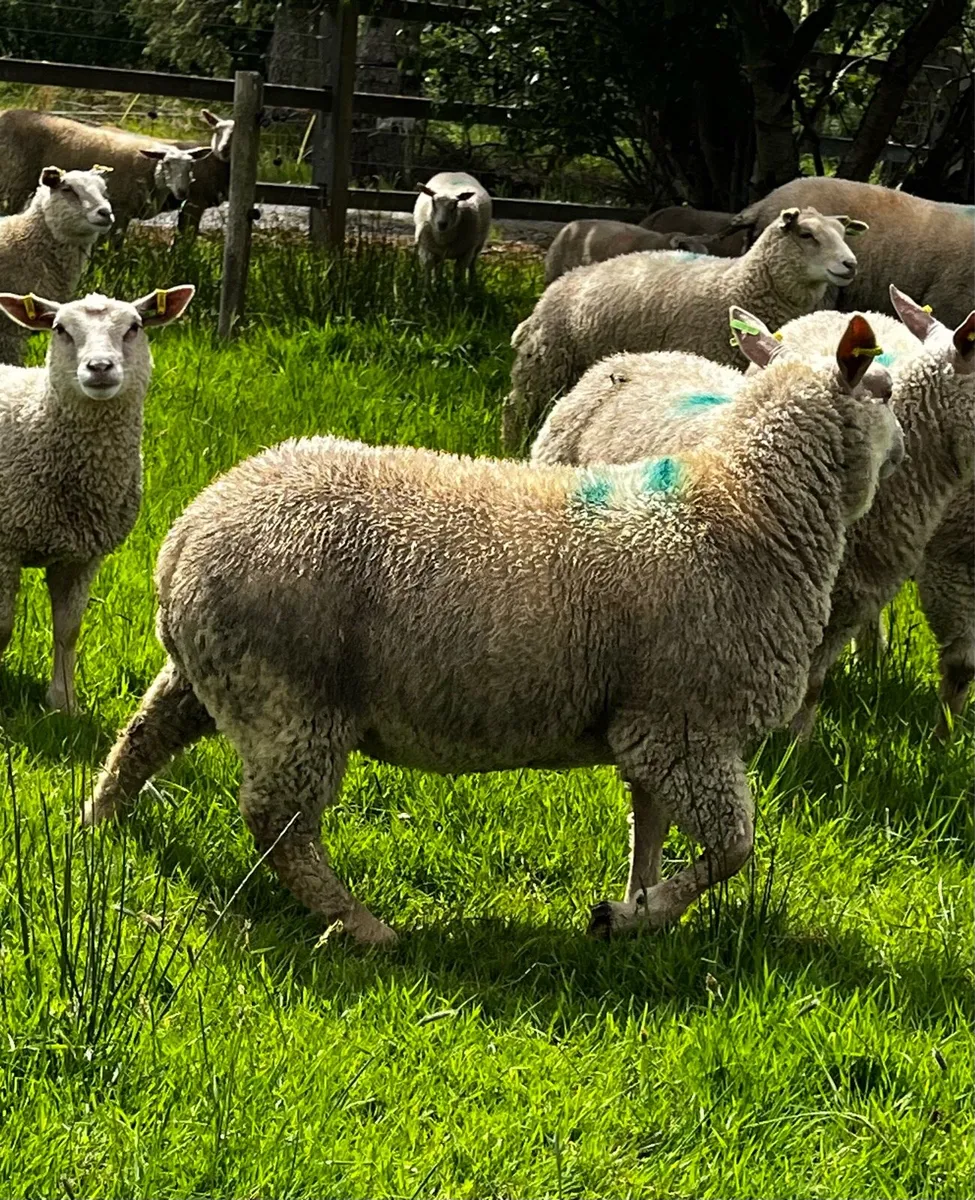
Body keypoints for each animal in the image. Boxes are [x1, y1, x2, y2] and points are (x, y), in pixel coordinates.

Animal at [0, 109, 212, 237]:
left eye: (191, 166)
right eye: (166, 163)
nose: (183, 192)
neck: (150, 170)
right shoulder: (120, 209)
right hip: (13, 181)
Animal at [0, 285, 195, 710]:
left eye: (135, 327)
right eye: (60, 329)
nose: (100, 367)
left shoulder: (83, 554)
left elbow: (68, 629)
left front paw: (64, 703)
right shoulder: (5, 545)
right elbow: (3, 626)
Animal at [84, 311, 901, 945]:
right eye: (885, 389)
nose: (899, 448)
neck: (742, 510)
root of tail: (186, 537)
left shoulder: (651, 726)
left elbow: (649, 831)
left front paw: (632, 912)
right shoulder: (689, 726)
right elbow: (732, 850)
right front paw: (638, 913)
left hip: (218, 674)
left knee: (143, 736)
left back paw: (100, 821)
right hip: (293, 696)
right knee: (278, 823)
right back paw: (361, 925)